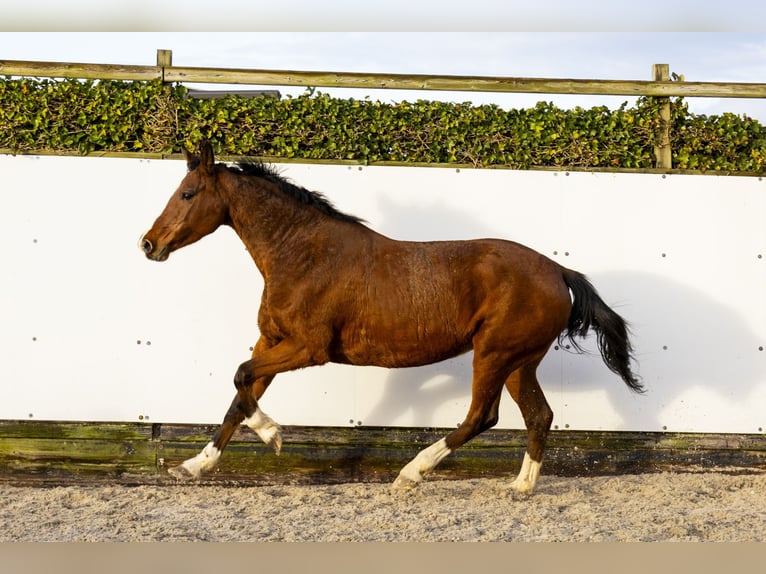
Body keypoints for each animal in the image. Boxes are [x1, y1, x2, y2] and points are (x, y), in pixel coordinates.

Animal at [141, 143, 644, 496]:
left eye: (187, 194)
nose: (148, 244)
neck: (301, 254)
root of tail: (559, 271)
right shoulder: (270, 340)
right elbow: (238, 396)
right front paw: (194, 466)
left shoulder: (308, 348)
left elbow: (241, 376)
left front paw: (274, 436)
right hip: (521, 361)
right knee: (539, 416)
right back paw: (521, 486)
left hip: (494, 353)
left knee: (483, 415)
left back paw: (411, 473)